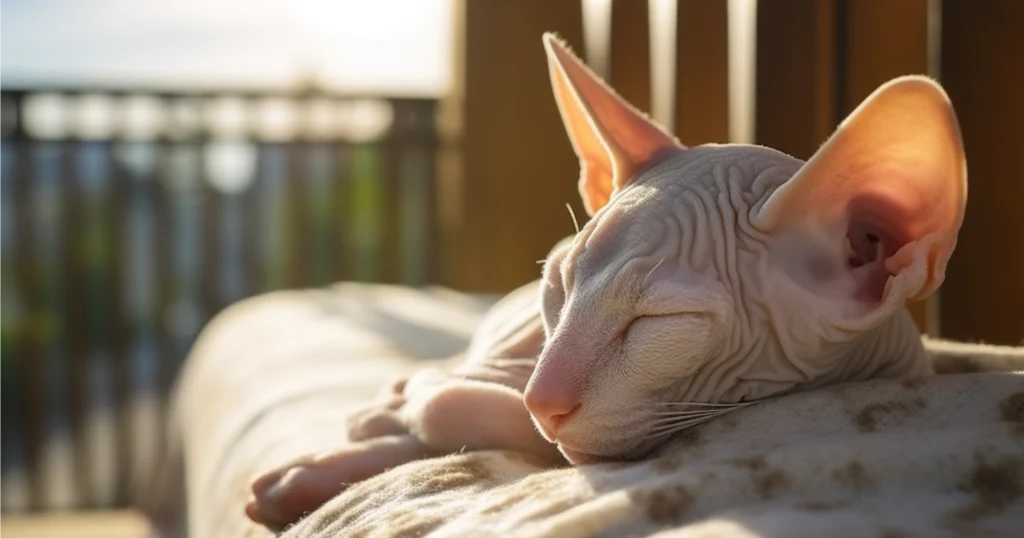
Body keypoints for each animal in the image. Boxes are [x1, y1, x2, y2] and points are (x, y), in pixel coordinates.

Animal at [243, 31, 962, 528]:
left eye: (657, 323)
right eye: (557, 285)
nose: (543, 400)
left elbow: (479, 415)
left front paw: (360, 443)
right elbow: (471, 398)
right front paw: (389, 413)